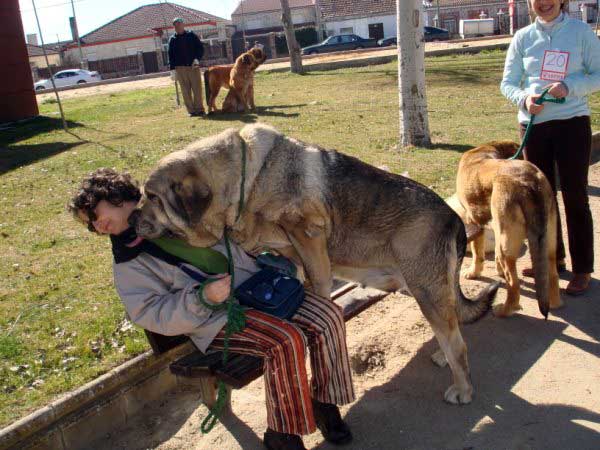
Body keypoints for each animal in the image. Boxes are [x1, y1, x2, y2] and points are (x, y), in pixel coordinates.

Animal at [134, 124, 500, 404]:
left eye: (152, 198)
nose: (132, 221)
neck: (244, 181)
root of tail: (454, 218)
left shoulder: (307, 235)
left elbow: (320, 289)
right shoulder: (290, 252)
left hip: (425, 291)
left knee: (457, 343)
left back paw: (462, 389)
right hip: (424, 290)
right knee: (452, 325)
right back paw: (442, 357)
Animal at [458, 139, 560, 318]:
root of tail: (528, 182)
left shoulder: (474, 221)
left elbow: (477, 253)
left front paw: (473, 272)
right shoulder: (496, 227)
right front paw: (498, 270)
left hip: (507, 245)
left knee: (514, 284)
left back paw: (504, 310)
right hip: (548, 240)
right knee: (553, 274)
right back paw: (554, 302)